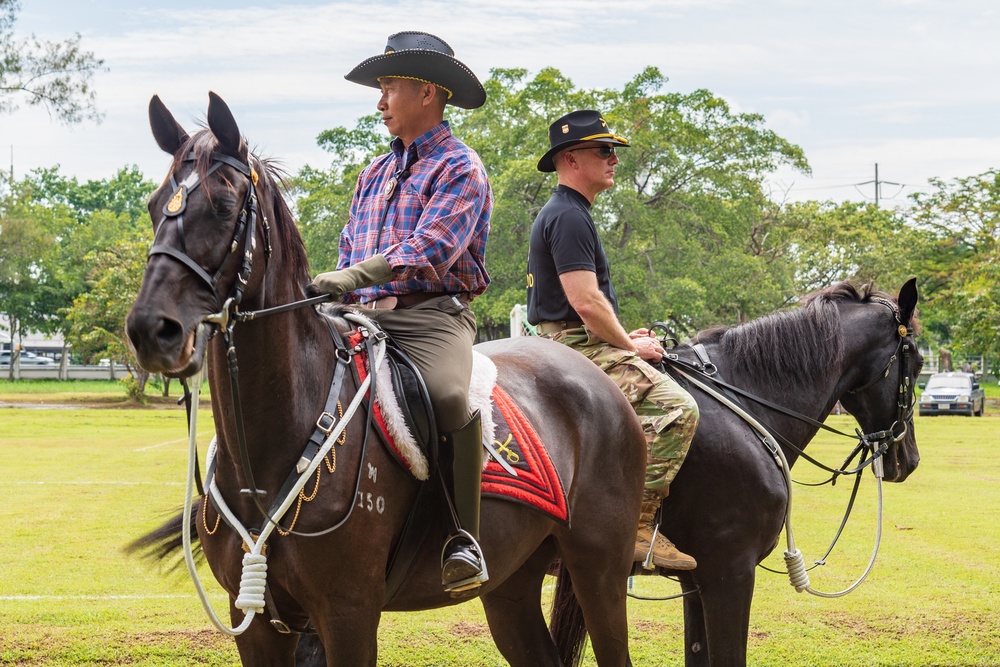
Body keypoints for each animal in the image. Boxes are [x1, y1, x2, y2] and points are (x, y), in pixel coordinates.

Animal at [127, 94, 648, 667]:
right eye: (154, 206)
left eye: (222, 205)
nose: (151, 329)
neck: (267, 458)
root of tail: (599, 377)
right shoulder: (259, 624)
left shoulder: (348, 613)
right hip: (512, 582)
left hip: (599, 568)